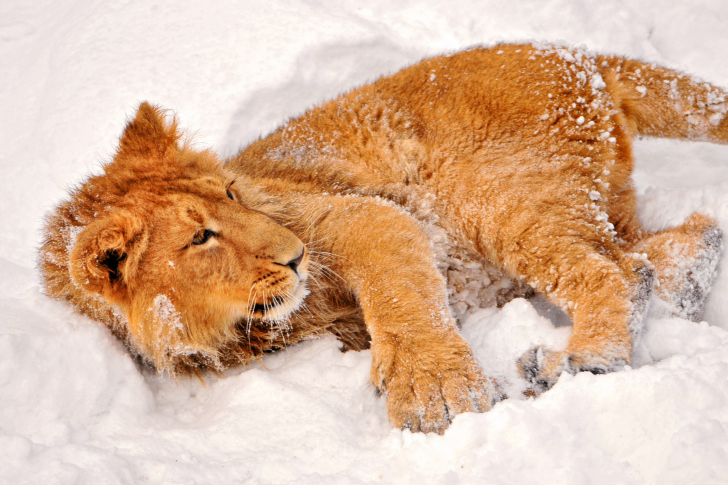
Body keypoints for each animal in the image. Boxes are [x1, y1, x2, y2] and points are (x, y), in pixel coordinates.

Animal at [41, 43, 728, 432]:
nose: (295, 256)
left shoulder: (355, 214)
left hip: (492, 194)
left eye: (232, 194)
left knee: (614, 270)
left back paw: (579, 363)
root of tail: (571, 53)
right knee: (671, 244)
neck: (236, 329)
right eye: (200, 238)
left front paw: (438, 395)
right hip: (588, 202)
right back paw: (674, 290)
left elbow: (397, 294)